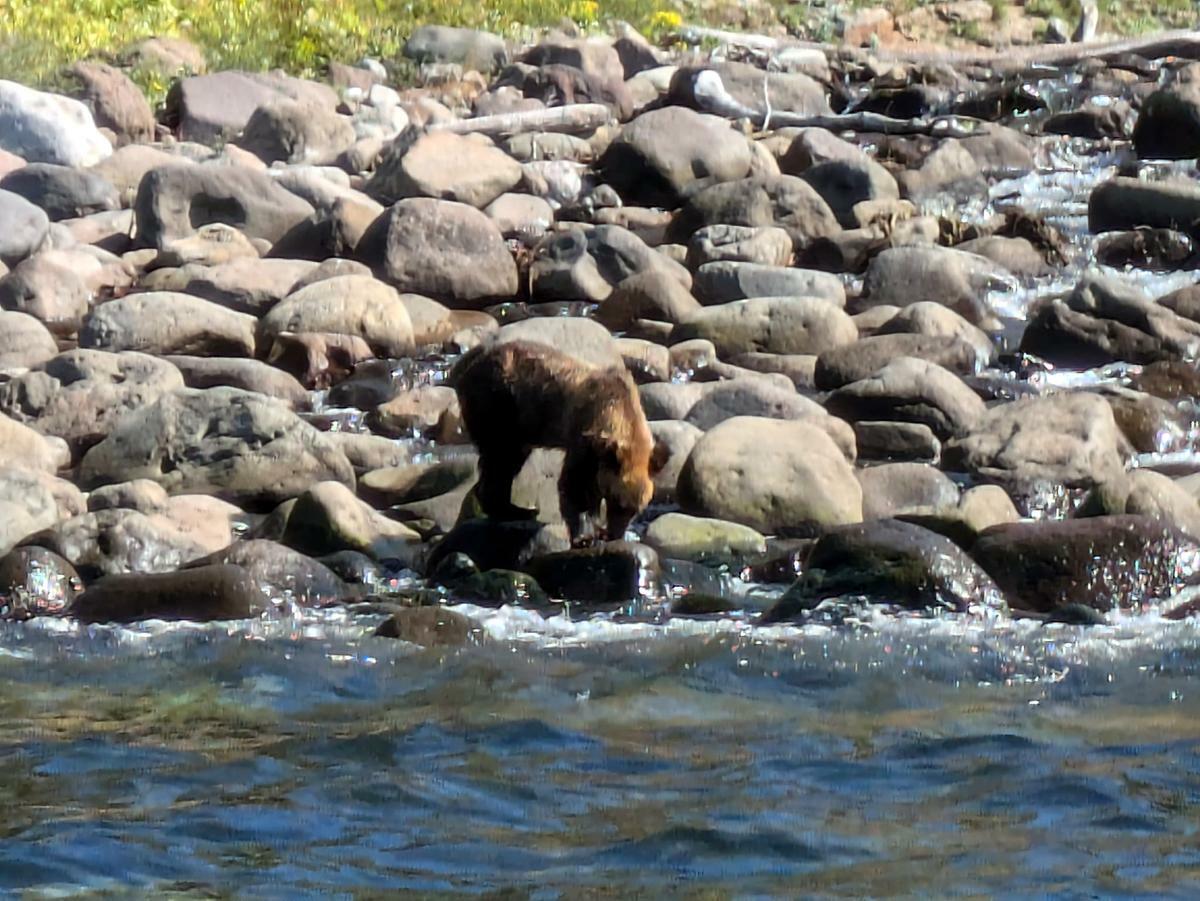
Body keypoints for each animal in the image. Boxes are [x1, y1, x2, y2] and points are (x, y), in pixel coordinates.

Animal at [451, 340, 662, 542]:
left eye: (635, 510)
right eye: (617, 501)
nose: (614, 533)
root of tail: (466, 366)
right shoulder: (584, 438)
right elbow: (576, 484)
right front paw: (583, 534)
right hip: (498, 404)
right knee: (500, 457)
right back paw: (514, 509)